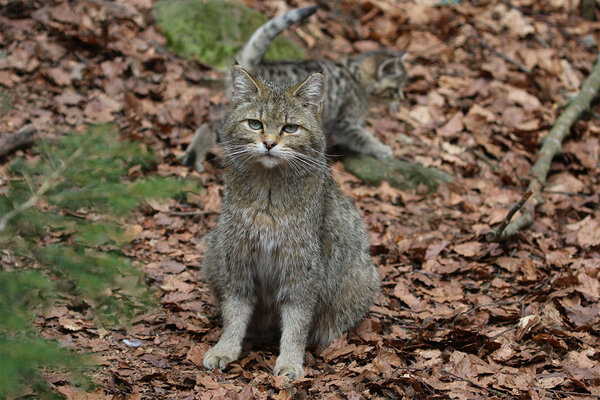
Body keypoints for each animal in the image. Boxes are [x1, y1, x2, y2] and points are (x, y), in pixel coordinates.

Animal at [183, 5, 408, 172]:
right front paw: (381, 148)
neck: (355, 75)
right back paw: (194, 156)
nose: (402, 97)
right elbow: (363, 137)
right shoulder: (346, 123)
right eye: (397, 89)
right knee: (212, 124)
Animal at [202, 65, 380, 378]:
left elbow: (297, 323)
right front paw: (226, 347)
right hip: (215, 249)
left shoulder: (301, 269)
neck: (268, 193)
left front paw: (290, 361)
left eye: (290, 128)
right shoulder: (238, 258)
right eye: (255, 124)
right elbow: (234, 311)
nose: (269, 144)